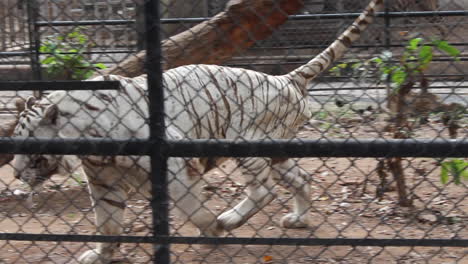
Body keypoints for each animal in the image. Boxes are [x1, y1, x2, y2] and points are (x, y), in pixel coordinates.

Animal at [12, 1, 382, 262]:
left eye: (29, 150)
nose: (14, 174)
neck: (86, 143)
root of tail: (286, 78)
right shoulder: (104, 181)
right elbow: (108, 223)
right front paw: (100, 256)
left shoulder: (173, 162)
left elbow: (190, 206)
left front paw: (212, 227)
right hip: (276, 150)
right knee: (302, 178)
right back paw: (297, 220)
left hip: (245, 142)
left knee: (263, 191)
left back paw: (229, 219)